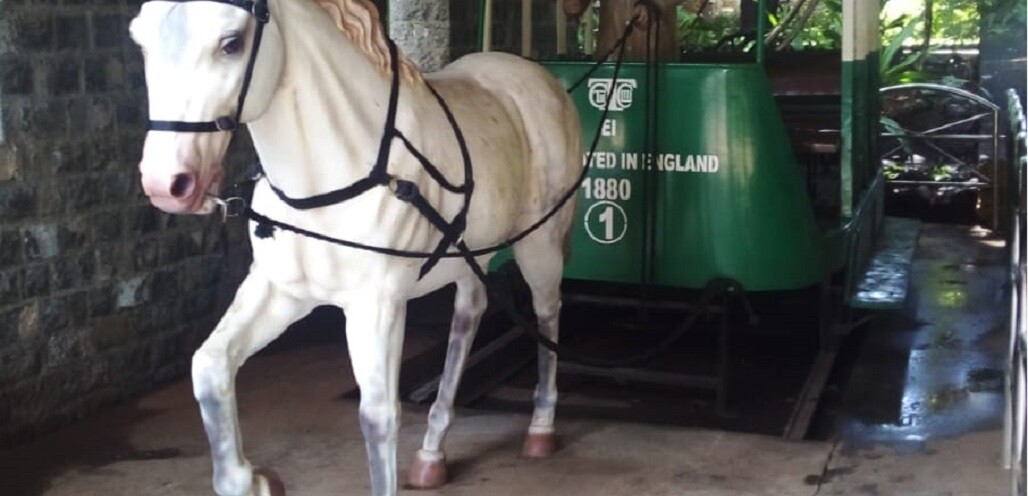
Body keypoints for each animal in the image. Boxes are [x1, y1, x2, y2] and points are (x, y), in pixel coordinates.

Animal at [128, 0, 582, 494]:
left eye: (231, 42)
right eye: (141, 40)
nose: (167, 184)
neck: (334, 178)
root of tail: (540, 79)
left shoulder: (376, 304)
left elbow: (378, 419)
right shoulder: (280, 291)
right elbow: (209, 366)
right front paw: (255, 480)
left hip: (539, 244)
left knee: (548, 312)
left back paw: (540, 428)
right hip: (470, 255)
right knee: (468, 315)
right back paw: (432, 450)